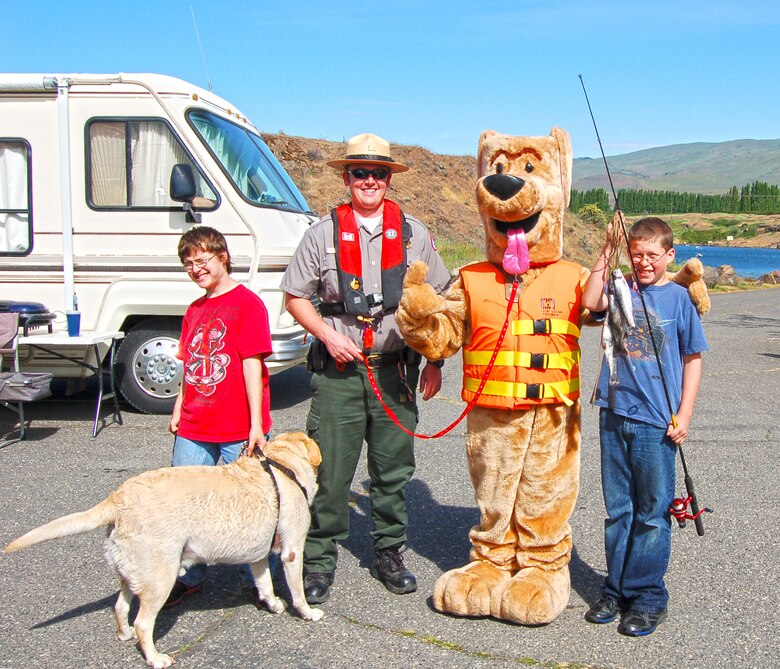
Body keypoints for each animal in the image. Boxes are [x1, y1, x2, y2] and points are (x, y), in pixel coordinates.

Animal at [4, 430, 324, 664]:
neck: (281, 465)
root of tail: (118, 498)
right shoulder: (292, 551)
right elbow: (296, 592)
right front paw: (307, 613)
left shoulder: (257, 555)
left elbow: (265, 583)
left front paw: (273, 604)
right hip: (162, 576)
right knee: (143, 623)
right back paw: (156, 658)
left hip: (131, 572)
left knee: (120, 607)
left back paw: (124, 635)